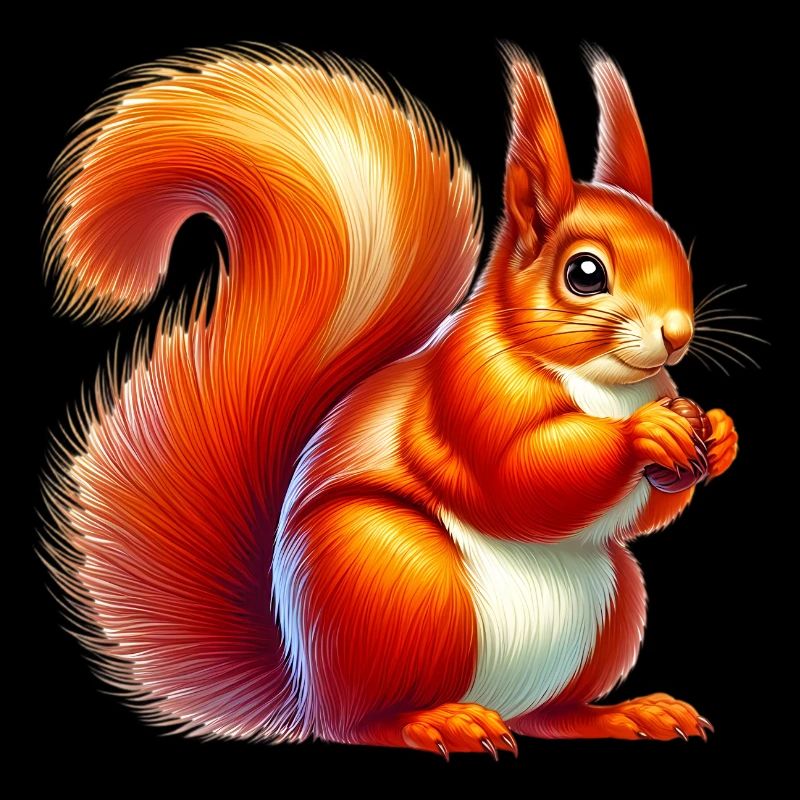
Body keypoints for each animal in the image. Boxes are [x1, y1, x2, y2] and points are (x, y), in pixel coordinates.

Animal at [42, 43, 738, 756]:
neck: (607, 384)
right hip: (395, 577)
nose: (677, 333)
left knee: (550, 715)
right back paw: (438, 721)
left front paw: (717, 431)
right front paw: (646, 434)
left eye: (676, 247)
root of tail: (305, 689)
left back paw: (624, 714)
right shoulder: (467, 390)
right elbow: (519, 475)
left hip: (615, 605)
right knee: (362, 724)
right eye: (585, 273)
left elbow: (644, 514)